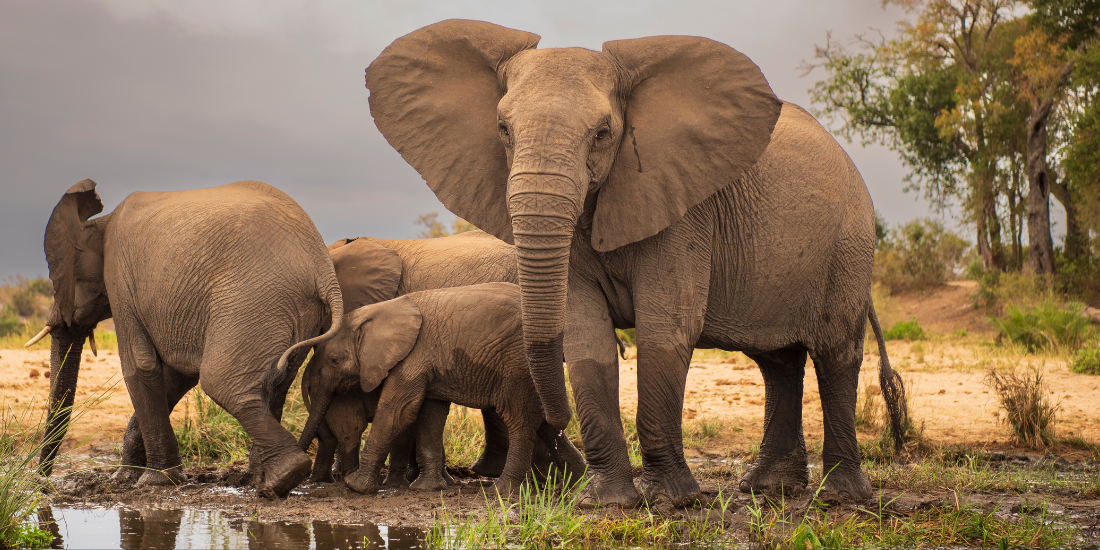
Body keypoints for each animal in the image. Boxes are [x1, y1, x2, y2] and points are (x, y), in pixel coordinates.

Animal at [28, 179, 342, 498]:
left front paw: (154, 481)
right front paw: (126, 478)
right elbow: (176, 375)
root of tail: (323, 268)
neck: (99, 222)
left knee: (222, 382)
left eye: (58, 280)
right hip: (295, 310)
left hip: (253, 299)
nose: (41, 483)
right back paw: (259, 480)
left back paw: (283, 477)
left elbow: (139, 366)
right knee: (276, 383)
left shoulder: (120, 280)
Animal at [298, 283, 587, 495]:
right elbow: (429, 414)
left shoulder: (413, 356)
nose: (300, 479)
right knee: (544, 421)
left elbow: (398, 412)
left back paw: (503, 492)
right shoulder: (426, 362)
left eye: (334, 360)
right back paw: (577, 483)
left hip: (517, 366)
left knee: (520, 420)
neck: (379, 312)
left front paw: (355, 486)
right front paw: (429, 488)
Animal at [363, 20, 908, 507]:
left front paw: (670, 502)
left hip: (849, 243)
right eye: (502, 130)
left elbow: (667, 329)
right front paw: (604, 502)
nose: (554, 428)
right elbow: (586, 336)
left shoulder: (684, 209)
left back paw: (840, 497)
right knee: (778, 362)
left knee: (835, 353)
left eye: (603, 133)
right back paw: (766, 490)